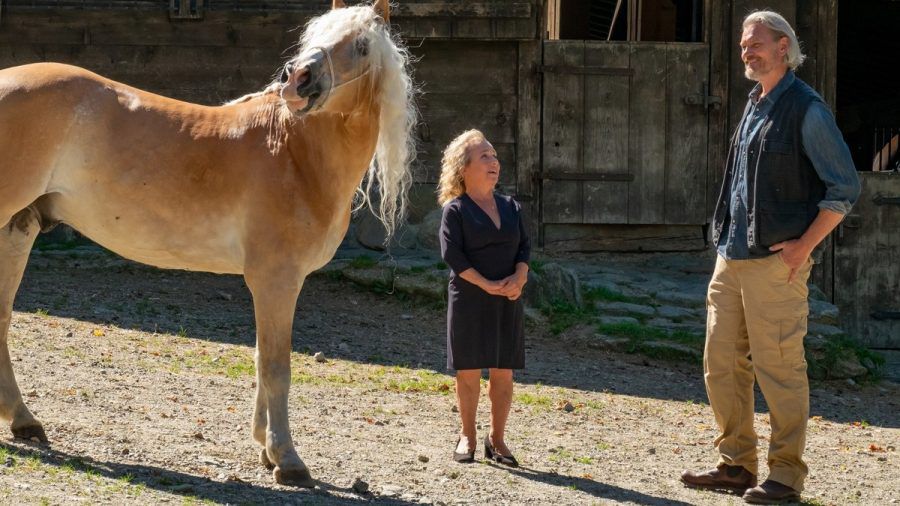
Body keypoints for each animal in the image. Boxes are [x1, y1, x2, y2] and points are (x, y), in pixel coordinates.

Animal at [0, 0, 414, 486]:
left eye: (362, 45)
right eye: (315, 35)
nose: (298, 78)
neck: (294, 152)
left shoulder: (272, 285)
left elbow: (262, 358)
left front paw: (265, 448)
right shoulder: (277, 280)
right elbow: (277, 367)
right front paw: (287, 458)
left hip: (17, 230)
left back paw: (24, 421)